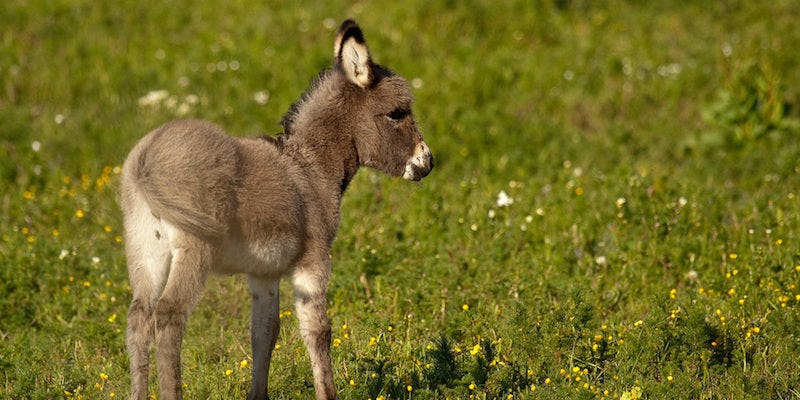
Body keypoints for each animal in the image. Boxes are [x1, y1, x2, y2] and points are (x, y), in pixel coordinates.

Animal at [120, 19, 432, 400]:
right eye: (397, 113)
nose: (428, 162)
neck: (311, 166)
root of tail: (146, 157)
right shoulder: (314, 261)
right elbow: (317, 332)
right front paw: (327, 394)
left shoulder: (264, 273)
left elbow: (265, 332)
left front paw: (258, 395)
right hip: (194, 248)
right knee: (168, 316)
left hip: (145, 247)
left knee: (139, 318)